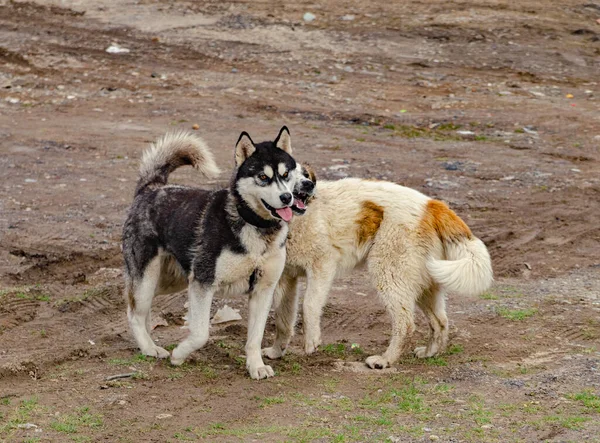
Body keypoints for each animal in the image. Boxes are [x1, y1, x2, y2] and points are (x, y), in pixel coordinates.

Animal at [262, 175, 492, 370]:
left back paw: (385, 360)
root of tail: (432, 204)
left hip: (388, 275)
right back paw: (429, 353)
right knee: (440, 322)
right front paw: (276, 352)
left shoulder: (323, 265)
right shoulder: (285, 279)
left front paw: (311, 341)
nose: (309, 186)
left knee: (406, 324)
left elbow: (309, 306)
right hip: (422, 283)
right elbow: (283, 320)